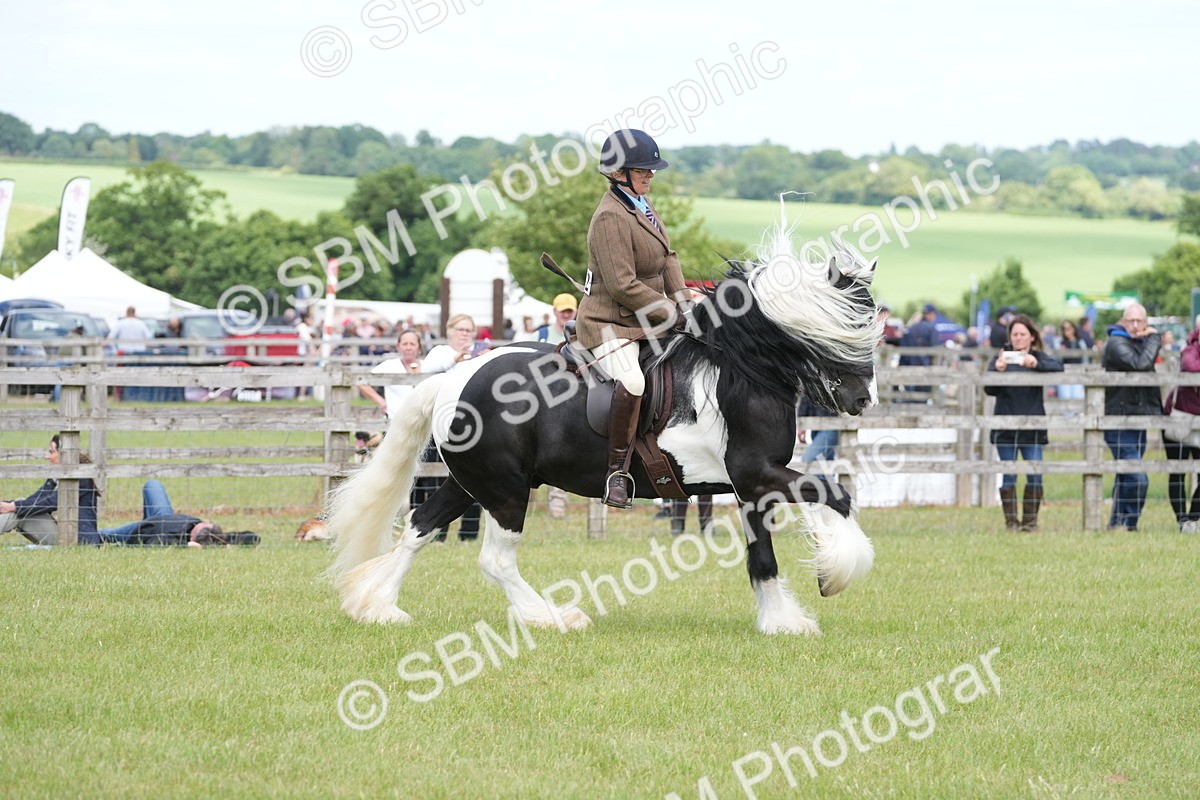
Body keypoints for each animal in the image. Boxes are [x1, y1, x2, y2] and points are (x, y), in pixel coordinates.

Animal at [325, 225, 882, 635]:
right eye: (849, 324)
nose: (862, 400)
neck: (740, 370)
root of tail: (453, 378)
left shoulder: (751, 483)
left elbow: (763, 552)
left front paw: (782, 619)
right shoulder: (757, 472)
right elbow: (834, 494)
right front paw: (834, 571)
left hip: (471, 482)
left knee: (420, 527)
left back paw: (378, 606)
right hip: (505, 490)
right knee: (494, 559)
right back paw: (552, 617)